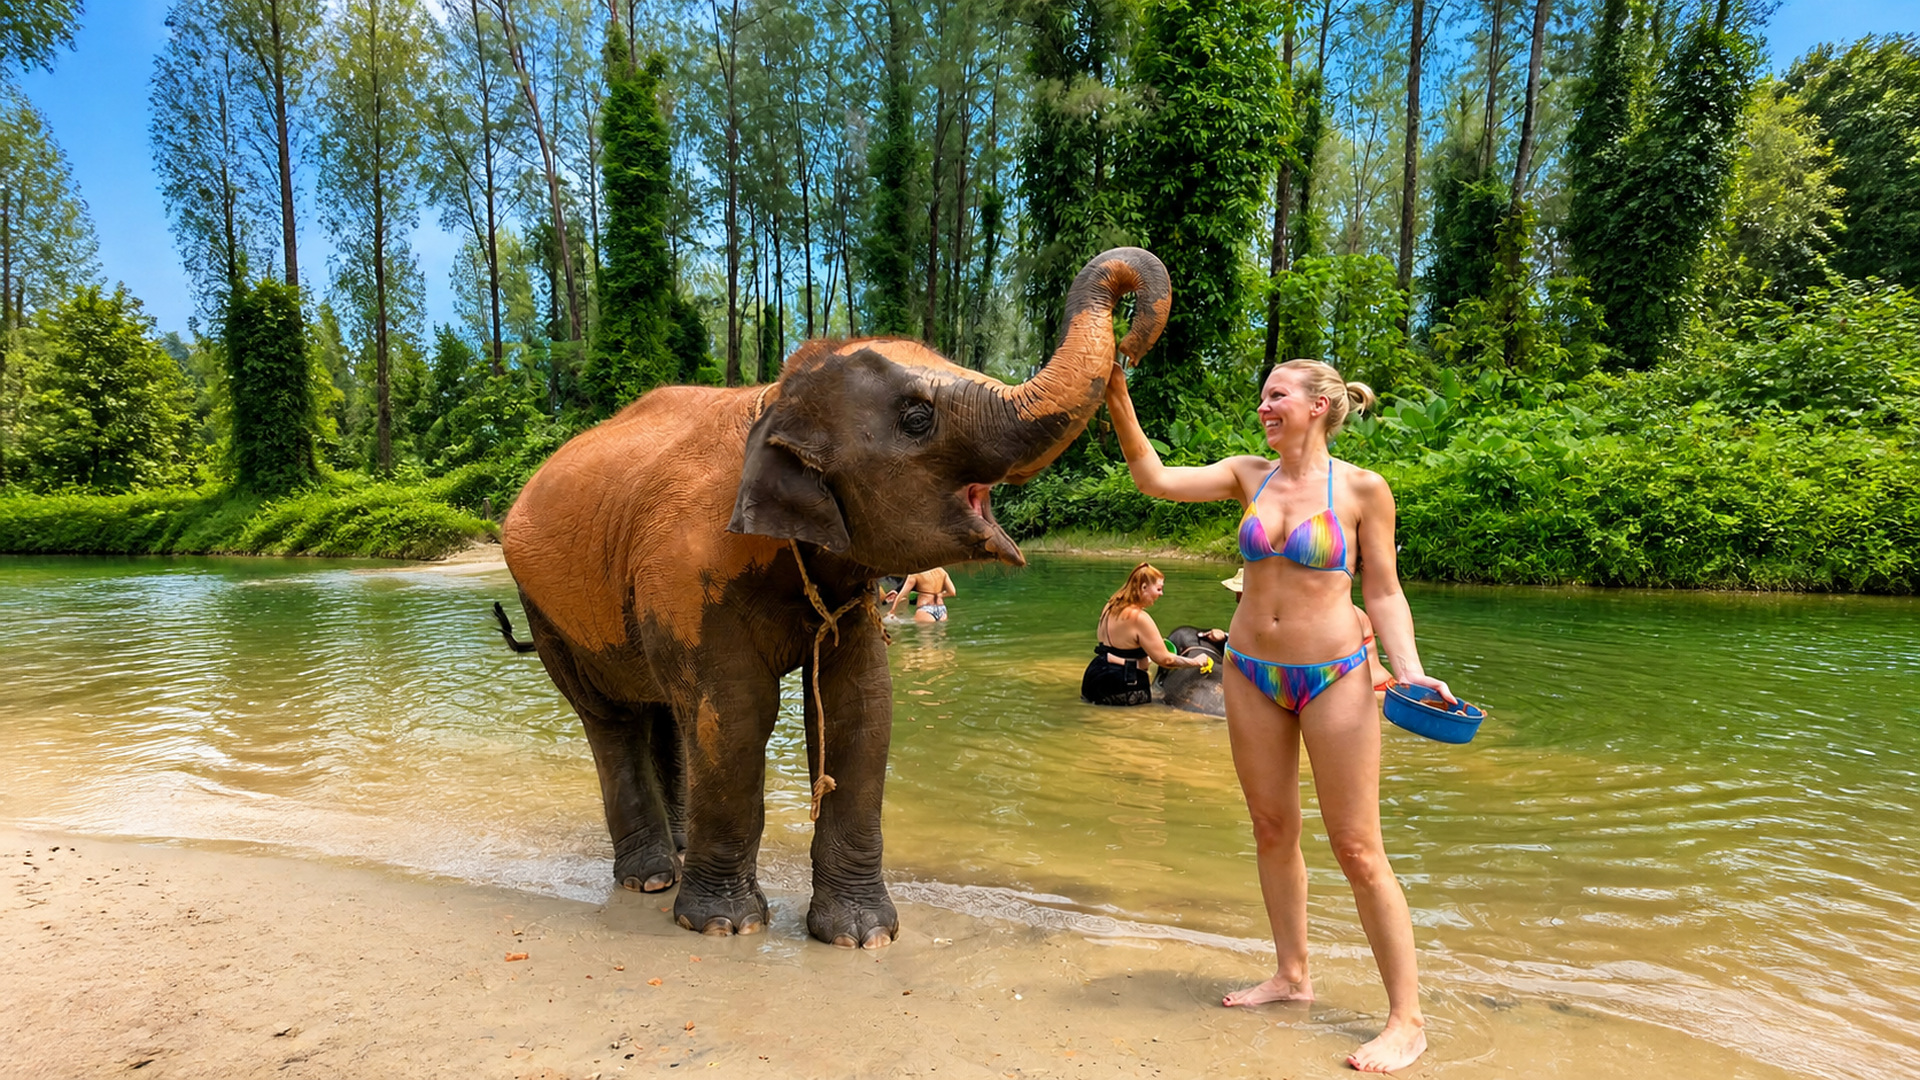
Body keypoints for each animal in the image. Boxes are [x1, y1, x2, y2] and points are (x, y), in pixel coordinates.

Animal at [498, 248, 1170, 948]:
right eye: (917, 418)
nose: (1129, 349)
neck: (773, 399)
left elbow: (861, 708)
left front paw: (862, 937)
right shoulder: (684, 572)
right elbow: (736, 714)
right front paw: (727, 927)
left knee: (668, 713)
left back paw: (679, 855)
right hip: (544, 608)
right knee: (613, 719)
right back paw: (653, 878)